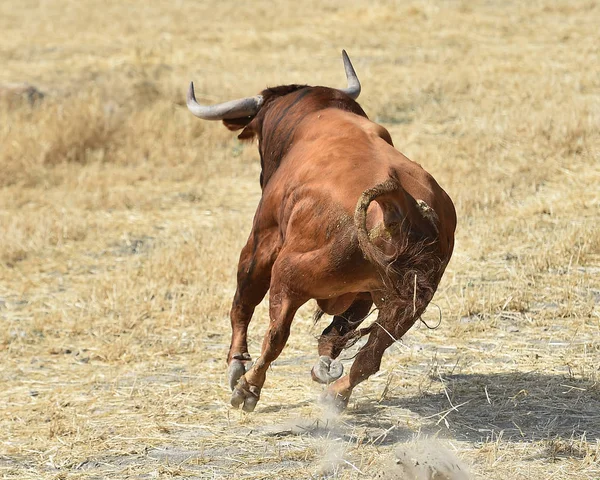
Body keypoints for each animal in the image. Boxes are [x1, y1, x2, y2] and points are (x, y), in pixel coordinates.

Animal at [186, 51, 454, 412]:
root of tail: (400, 202)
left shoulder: (262, 240)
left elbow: (244, 300)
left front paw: (236, 365)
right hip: (406, 303)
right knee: (368, 355)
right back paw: (334, 391)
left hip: (287, 275)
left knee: (276, 334)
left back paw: (248, 388)